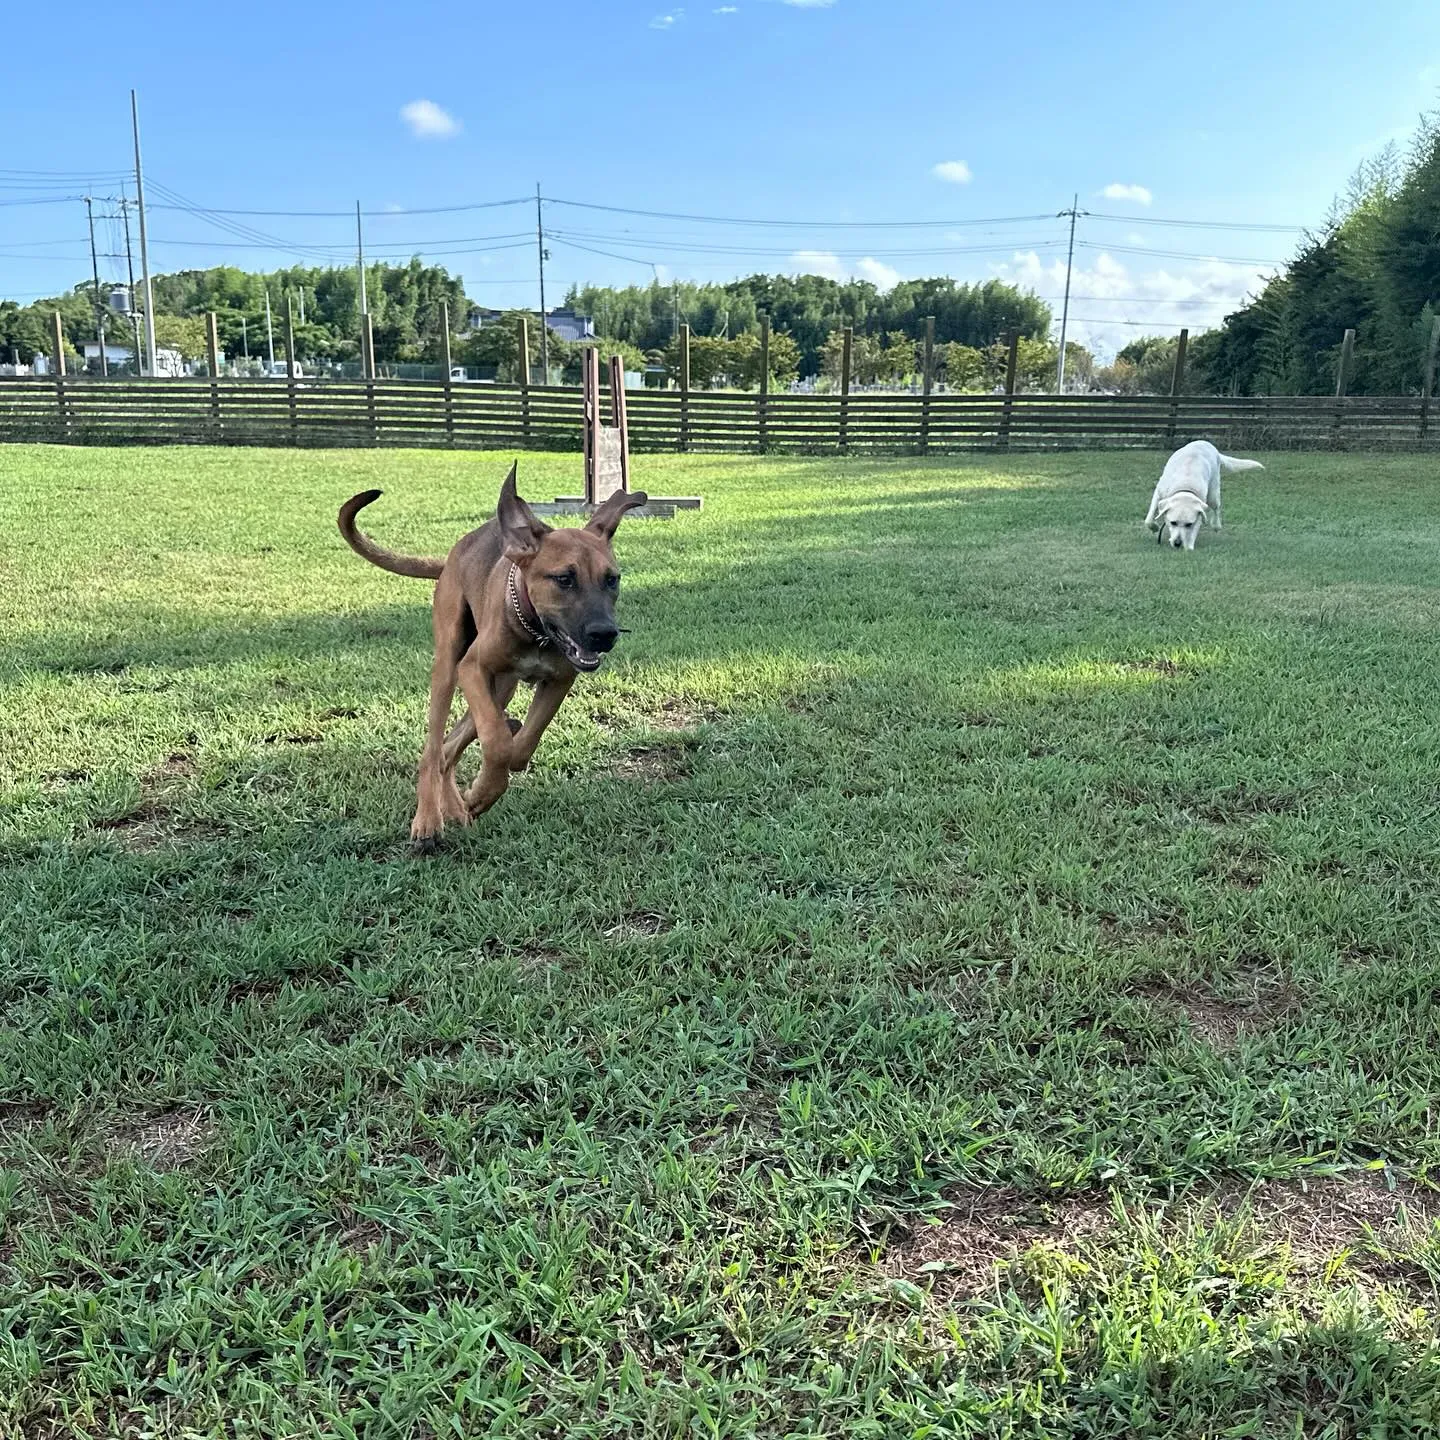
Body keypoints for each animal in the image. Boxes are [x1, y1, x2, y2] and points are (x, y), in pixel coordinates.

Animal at [339, 469, 645, 852]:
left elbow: (522, 747)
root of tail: (452, 556)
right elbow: (498, 746)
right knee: (433, 750)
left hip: (501, 688)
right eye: (564, 579)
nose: (604, 634)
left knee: (449, 749)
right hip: (450, 665)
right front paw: (482, 792)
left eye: (612, 580)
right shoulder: (473, 669)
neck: (535, 632)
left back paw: (457, 808)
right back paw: (428, 821)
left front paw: (480, 794)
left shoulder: (559, 680)